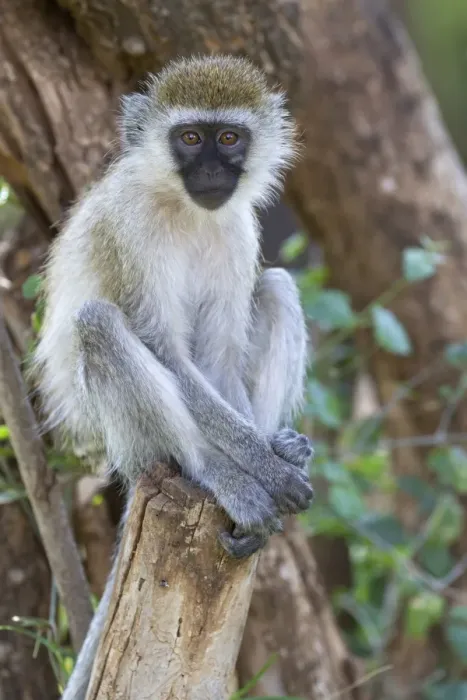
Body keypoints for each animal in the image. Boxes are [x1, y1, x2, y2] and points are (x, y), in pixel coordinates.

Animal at [32, 55, 313, 699]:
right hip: (111, 431)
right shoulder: (129, 229)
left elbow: (218, 357)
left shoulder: (237, 231)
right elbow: (166, 350)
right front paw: (259, 468)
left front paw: (267, 453)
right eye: (189, 138)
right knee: (98, 323)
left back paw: (275, 443)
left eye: (228, 138)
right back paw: (216, 472)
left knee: (277, 287)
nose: (210, 168)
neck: (186, 210)